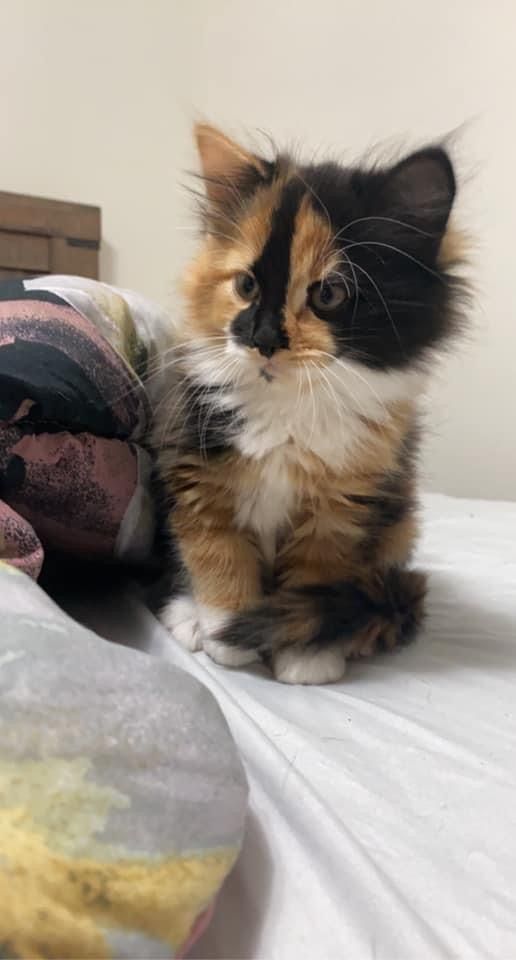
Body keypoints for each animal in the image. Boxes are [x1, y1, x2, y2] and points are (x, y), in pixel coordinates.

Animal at [155, 125, 466, 684]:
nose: (261, 339)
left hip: (399, 520)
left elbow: (315, 578)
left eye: (329, 295)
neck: (290, 407)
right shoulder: (195, 473)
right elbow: (218, 556)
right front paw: (225, 635)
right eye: (246, 286)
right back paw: (188, 617)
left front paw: (305, 656)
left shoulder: (344, 506)